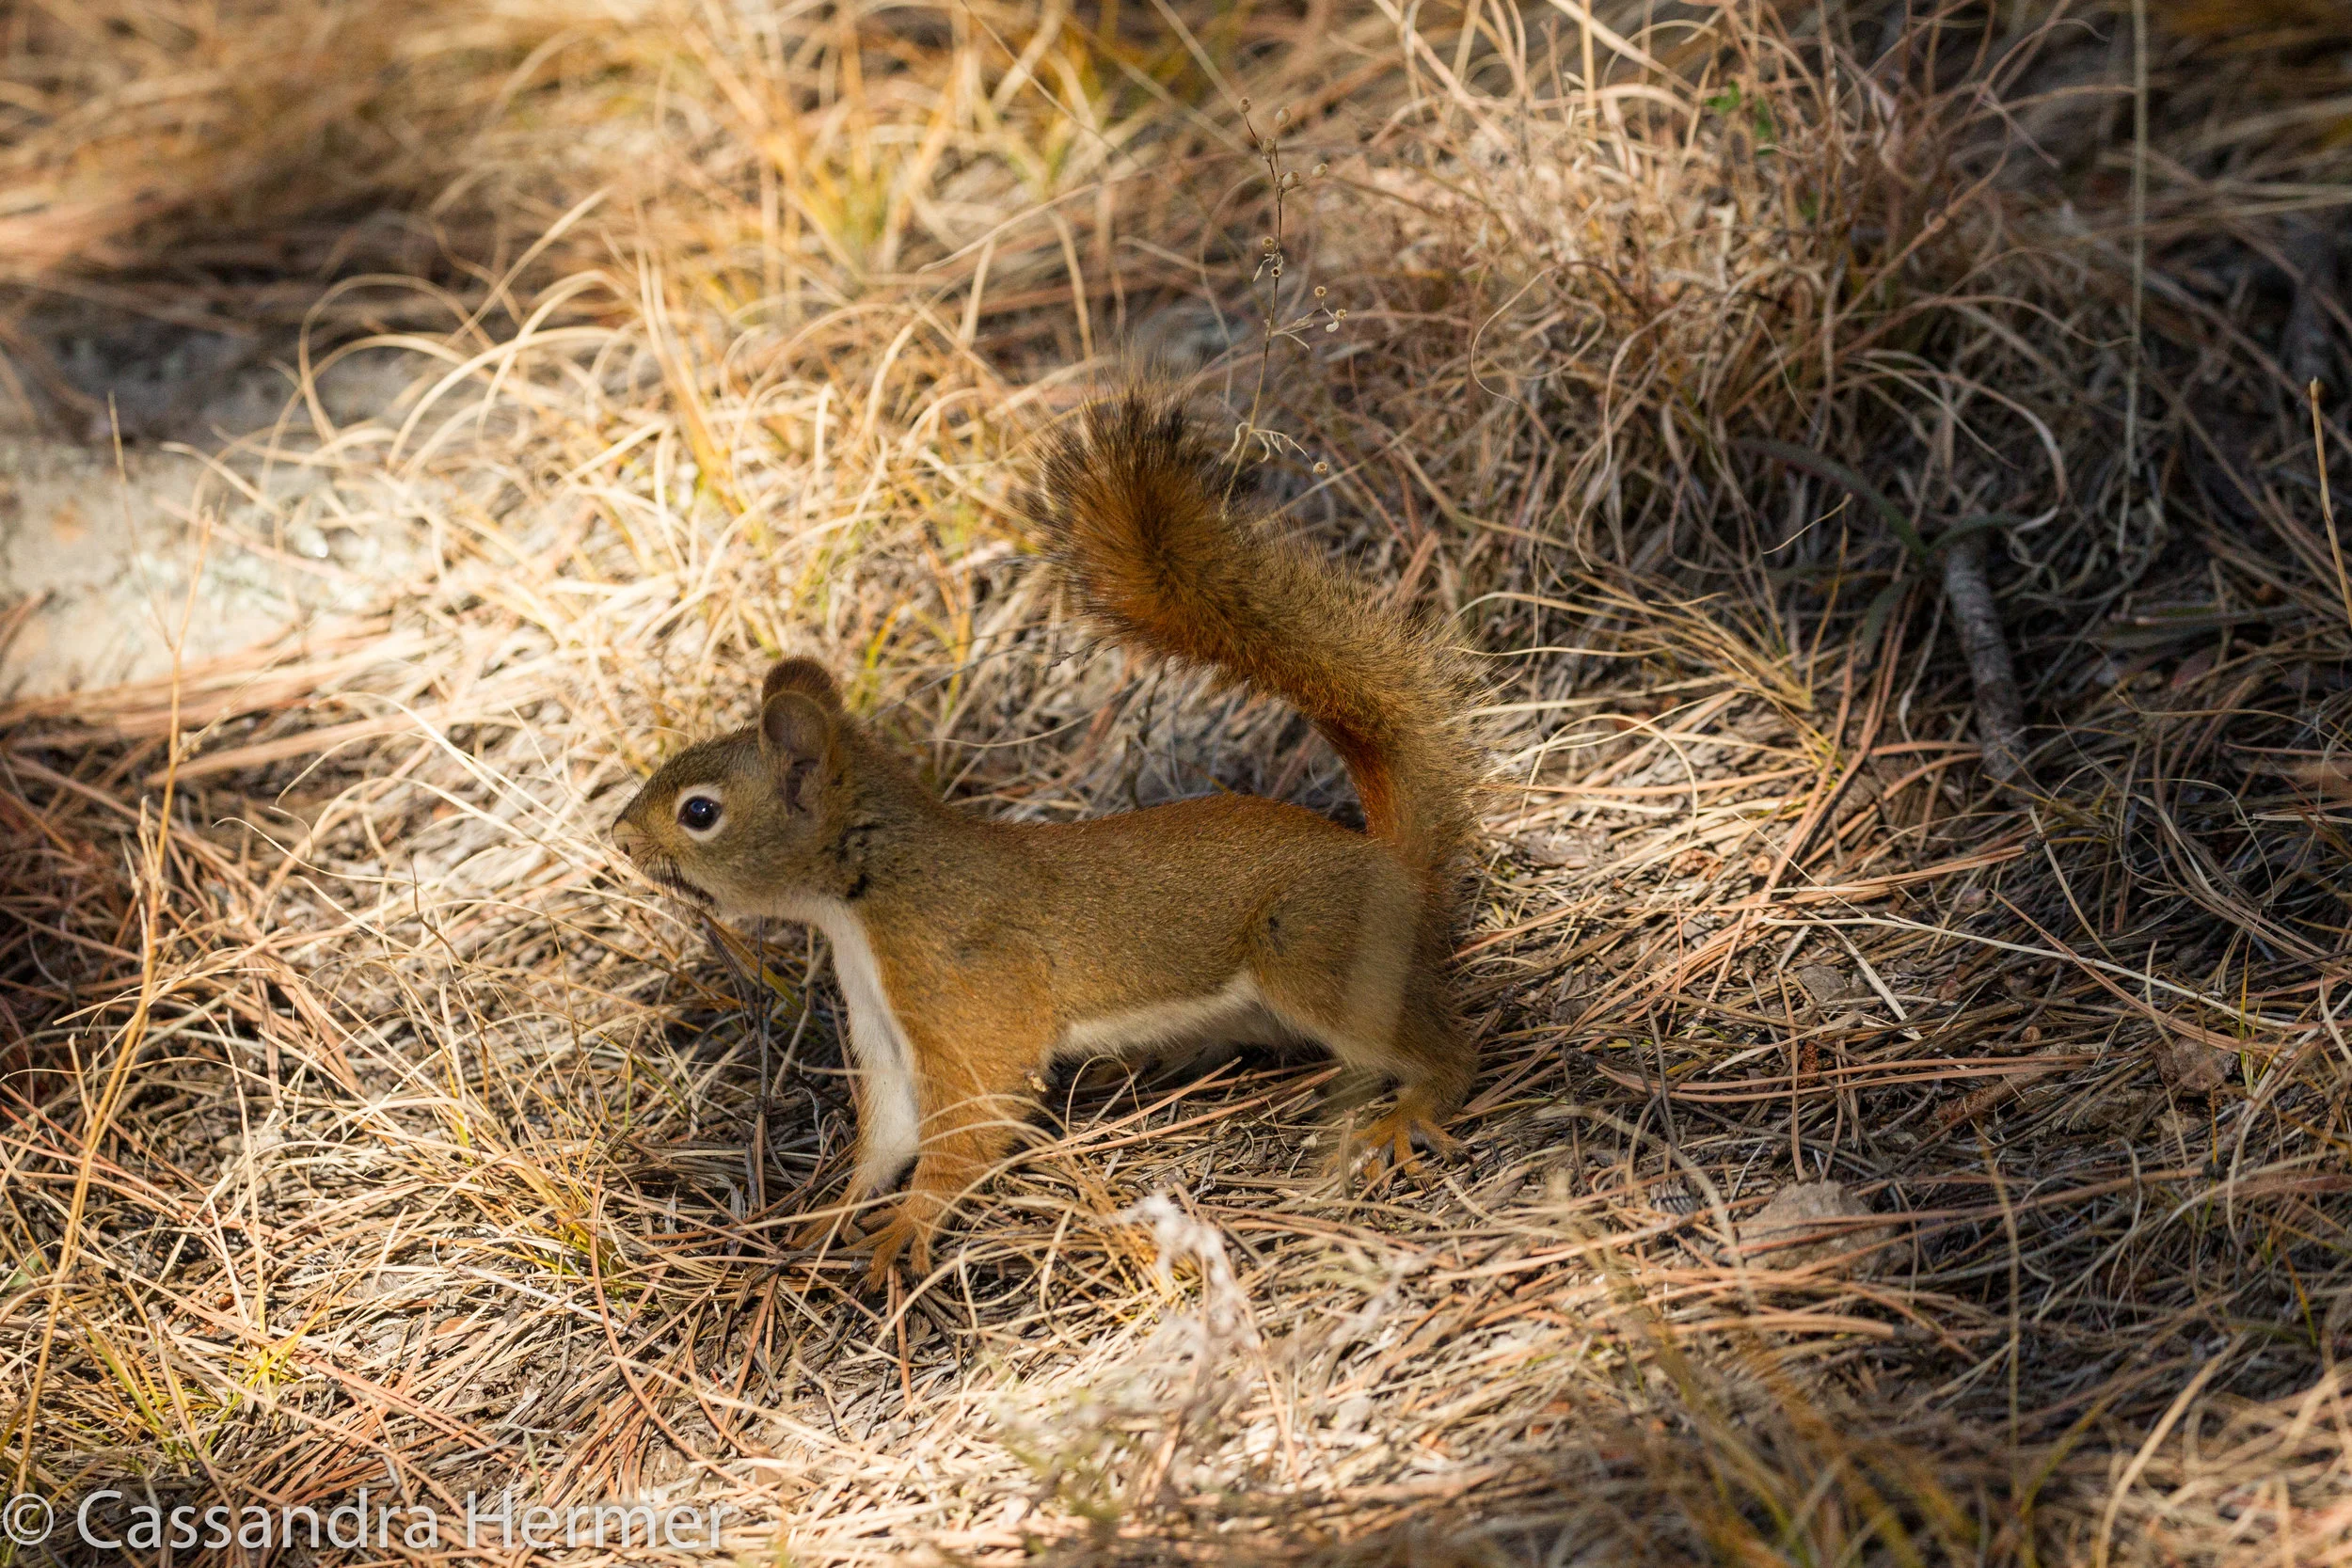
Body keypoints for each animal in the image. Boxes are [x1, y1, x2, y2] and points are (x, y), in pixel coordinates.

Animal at [610, 392, 1480, 1281]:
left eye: (700, 812)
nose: (620, 839)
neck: (867, 895)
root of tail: (1392, 860)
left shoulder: (966, 990)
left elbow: (974, 1112)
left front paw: (905, 1227)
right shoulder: (882, 1030)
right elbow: (887, 1137)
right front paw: (831, 1214)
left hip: (1314, 951)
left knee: (1447, 1047)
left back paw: (1408, 1110)